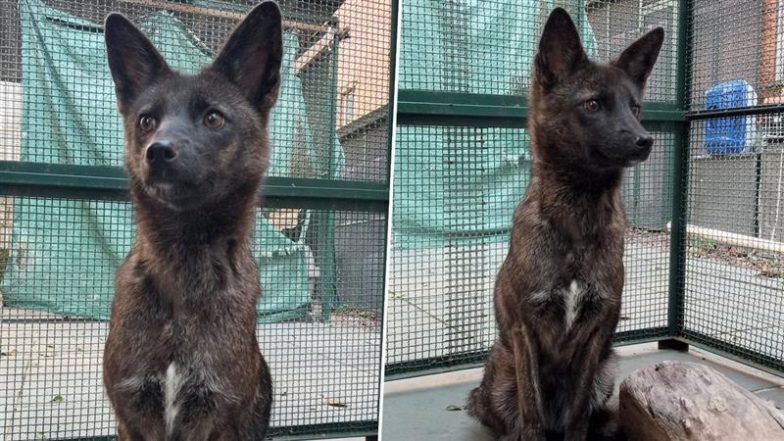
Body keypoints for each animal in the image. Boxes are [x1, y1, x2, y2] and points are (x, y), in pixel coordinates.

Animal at [466, 8, 663, 441]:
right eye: (592, 104)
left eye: (635, 107)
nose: (645, 140)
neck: (576, 216)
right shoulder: (524, 329)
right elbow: (532, 411)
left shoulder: (596, 332)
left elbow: (576, 412)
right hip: (500, 367)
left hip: (608, 369)